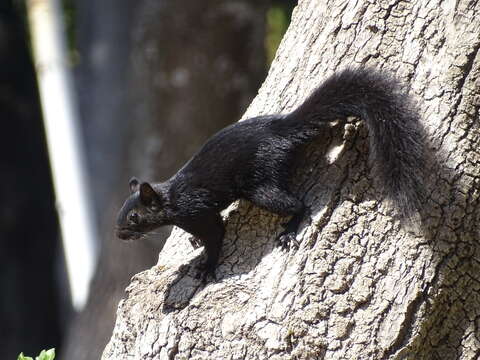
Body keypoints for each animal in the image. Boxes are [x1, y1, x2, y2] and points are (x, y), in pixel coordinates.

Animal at [116, 69, 424, 280]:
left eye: (134, 217)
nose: (119, 235)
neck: (171, 198)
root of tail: (281, 131)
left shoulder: (195, 210)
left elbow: (216, 234)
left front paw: (207, 265)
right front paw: (195, 242)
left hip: (262, 186)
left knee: (298, 205)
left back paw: (289, 230)